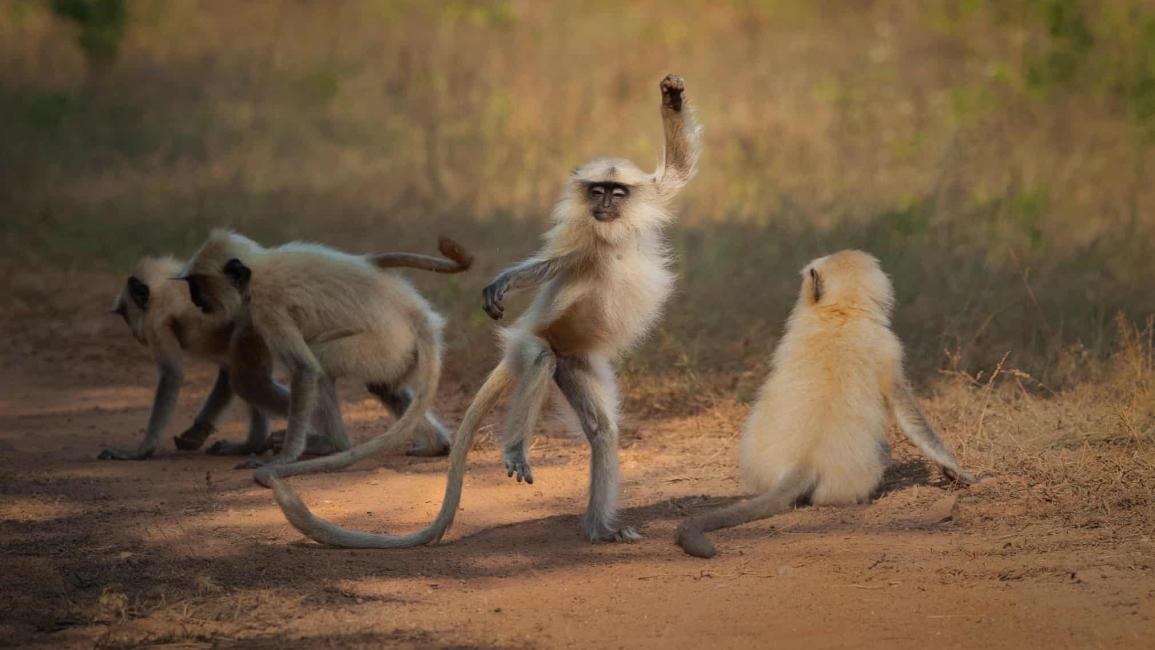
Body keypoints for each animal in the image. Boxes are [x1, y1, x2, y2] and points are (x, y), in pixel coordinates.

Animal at [180, 230, 468, 475]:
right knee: (383, 386)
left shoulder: (266, 305)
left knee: (321, 366)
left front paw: (284, 459)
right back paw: (436, 445)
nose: (195, 300)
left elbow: (305, 368)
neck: (258, 269)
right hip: (400, 351)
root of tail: (412, 311)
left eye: (197, 286)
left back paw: (334, 445)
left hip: (381, 344)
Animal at [270, 73, 702, 547]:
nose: (603, 205)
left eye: (616, 193)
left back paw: (599, 530)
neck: (612, 231)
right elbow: (548, 266)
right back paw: (516, 450)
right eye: (597, 192)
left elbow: (677, 171)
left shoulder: (643, 201)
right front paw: (505, 282)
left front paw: (673, 96)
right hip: (536, 341)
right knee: (540, 358)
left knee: (602, 431)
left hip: (576, 361)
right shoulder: (580, 240)